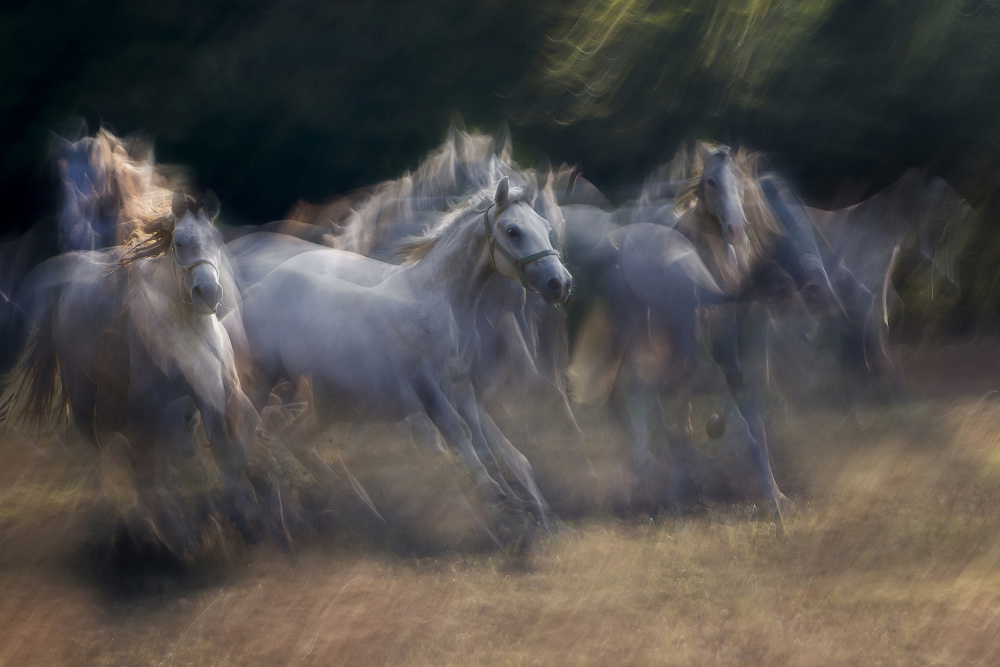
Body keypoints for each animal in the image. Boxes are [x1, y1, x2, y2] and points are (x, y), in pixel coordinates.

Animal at [0, 190, 263, 549]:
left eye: (218, 240)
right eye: (179, 242)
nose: (208, 293)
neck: (188, 331)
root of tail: (63, 291)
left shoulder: (211, 394)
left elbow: (222, 449)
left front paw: (245, 515)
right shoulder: (146, 402)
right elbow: (147, 461)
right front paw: (169, 529)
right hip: (81, 387)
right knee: (94, 444)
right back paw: (108, 512)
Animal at [239, 176, 571, 531]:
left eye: (545, 227)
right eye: (513, 231)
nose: (560, 284)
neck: (437, 303)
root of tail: (259, 288)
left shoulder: (461, 386)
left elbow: (480, 438)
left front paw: (515, 500)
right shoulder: (426, 385)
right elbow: (456, 429)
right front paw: (491, 492)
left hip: (331, 402)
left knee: (295, 438)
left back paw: (351, 501)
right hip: (264, 378)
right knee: (245, 429)